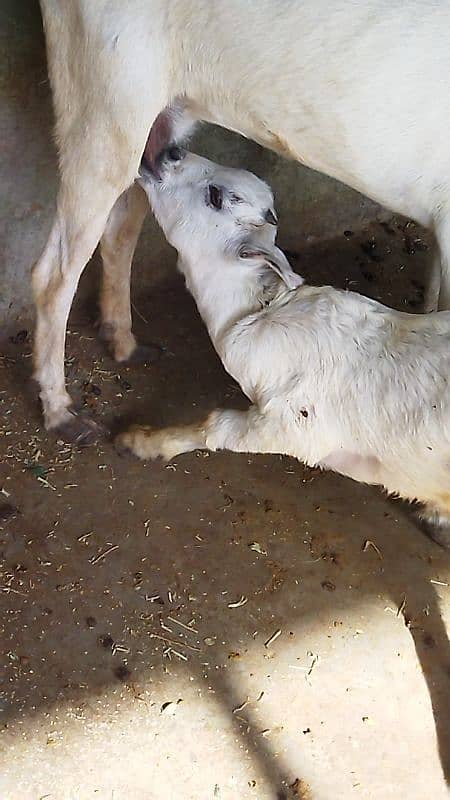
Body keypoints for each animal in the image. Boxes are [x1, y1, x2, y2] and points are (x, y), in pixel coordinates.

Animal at [34, 0, 450, 440]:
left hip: (145, 121)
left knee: (119, 229)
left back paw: (124, 343)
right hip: (103, 102)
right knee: (54, 275)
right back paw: (61, 411)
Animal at [117, 148, 450, 552]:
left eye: (215, 195)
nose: (170, 151)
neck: (261, 313)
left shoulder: (294, 426)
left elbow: (215, 425)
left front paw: (142, 441)